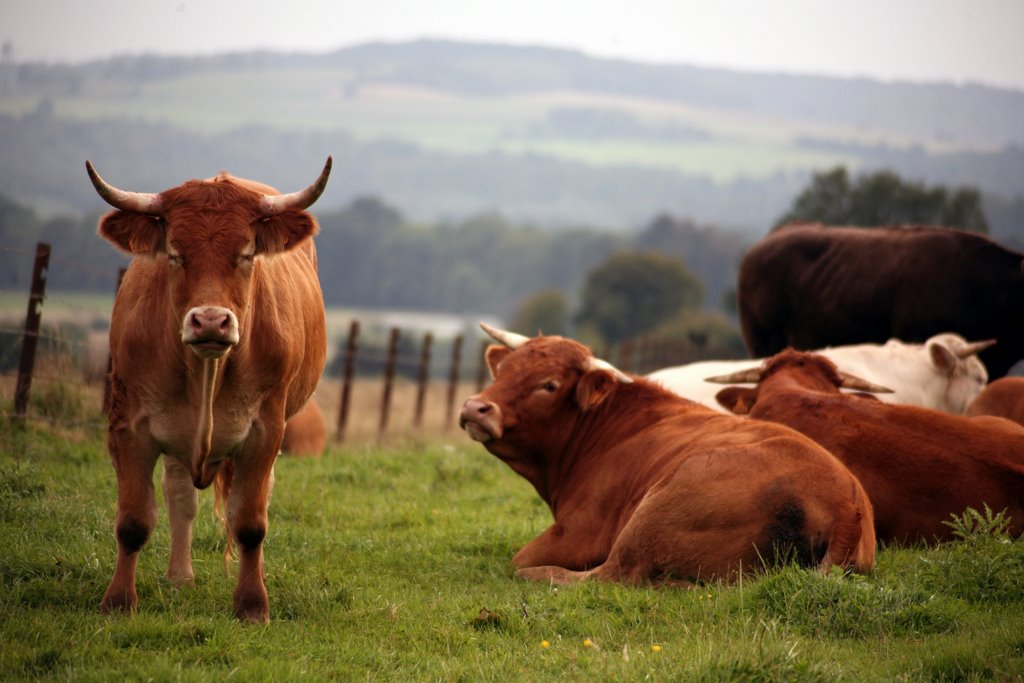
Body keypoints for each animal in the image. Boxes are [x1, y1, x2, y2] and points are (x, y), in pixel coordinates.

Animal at [88, 157, 329, 622]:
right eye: (175, 254)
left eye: (246, 254)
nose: (212, 321)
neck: (206, 370)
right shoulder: (128, 426)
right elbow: (133, 521)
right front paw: (118, 601)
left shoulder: (266, 431)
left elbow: (250, 522)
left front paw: (252, 605)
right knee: (180, 495)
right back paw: (180, 576)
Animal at [460, 325, 876, 589]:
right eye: (505, 369)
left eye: (549, 385)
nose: (475, 407)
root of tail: (846, 499)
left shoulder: (577, 533)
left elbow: (521, 559)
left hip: (655, 510)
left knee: (611, 577)